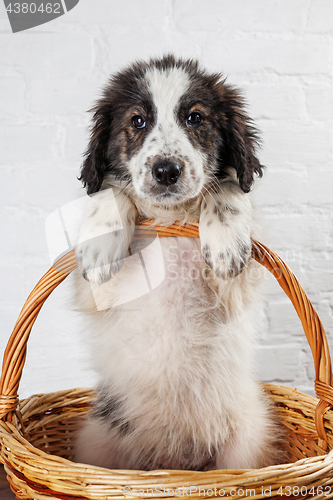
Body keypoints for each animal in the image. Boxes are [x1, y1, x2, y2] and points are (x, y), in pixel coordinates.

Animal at [73, 56, 282, 470]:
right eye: (138, 121)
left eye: (195, 118)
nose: (166, 171)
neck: (169, 216)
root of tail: (173, 463)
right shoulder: (95, 293)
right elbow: (109, 191)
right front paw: (101, 241)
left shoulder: (238, 287)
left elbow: (229, 186)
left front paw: (225, 242)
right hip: (97, 440)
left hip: (246, 439)